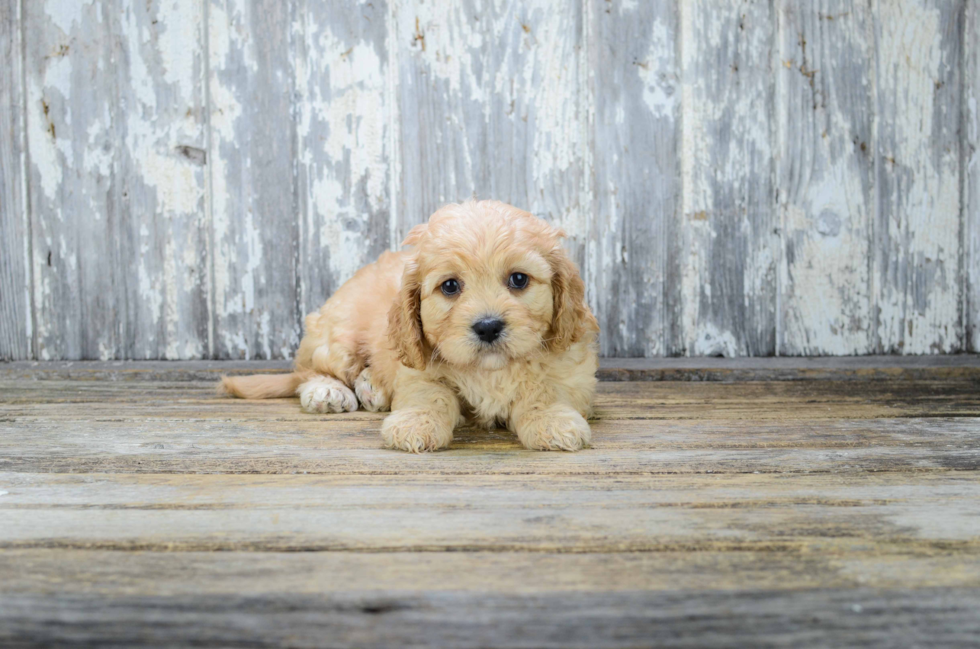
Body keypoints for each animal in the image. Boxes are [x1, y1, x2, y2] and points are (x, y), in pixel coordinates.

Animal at [223, 200, 600, 454]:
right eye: (450, 286)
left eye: (519, 279)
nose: (488, 327)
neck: (490, 370)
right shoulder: (417, 368)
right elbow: (431, 394)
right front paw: (416, 424)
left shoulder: (571, 368)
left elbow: (543, 391)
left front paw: (552, 421)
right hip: (337, 335)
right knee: (308, 370)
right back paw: (329, 392)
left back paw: (371, 386)